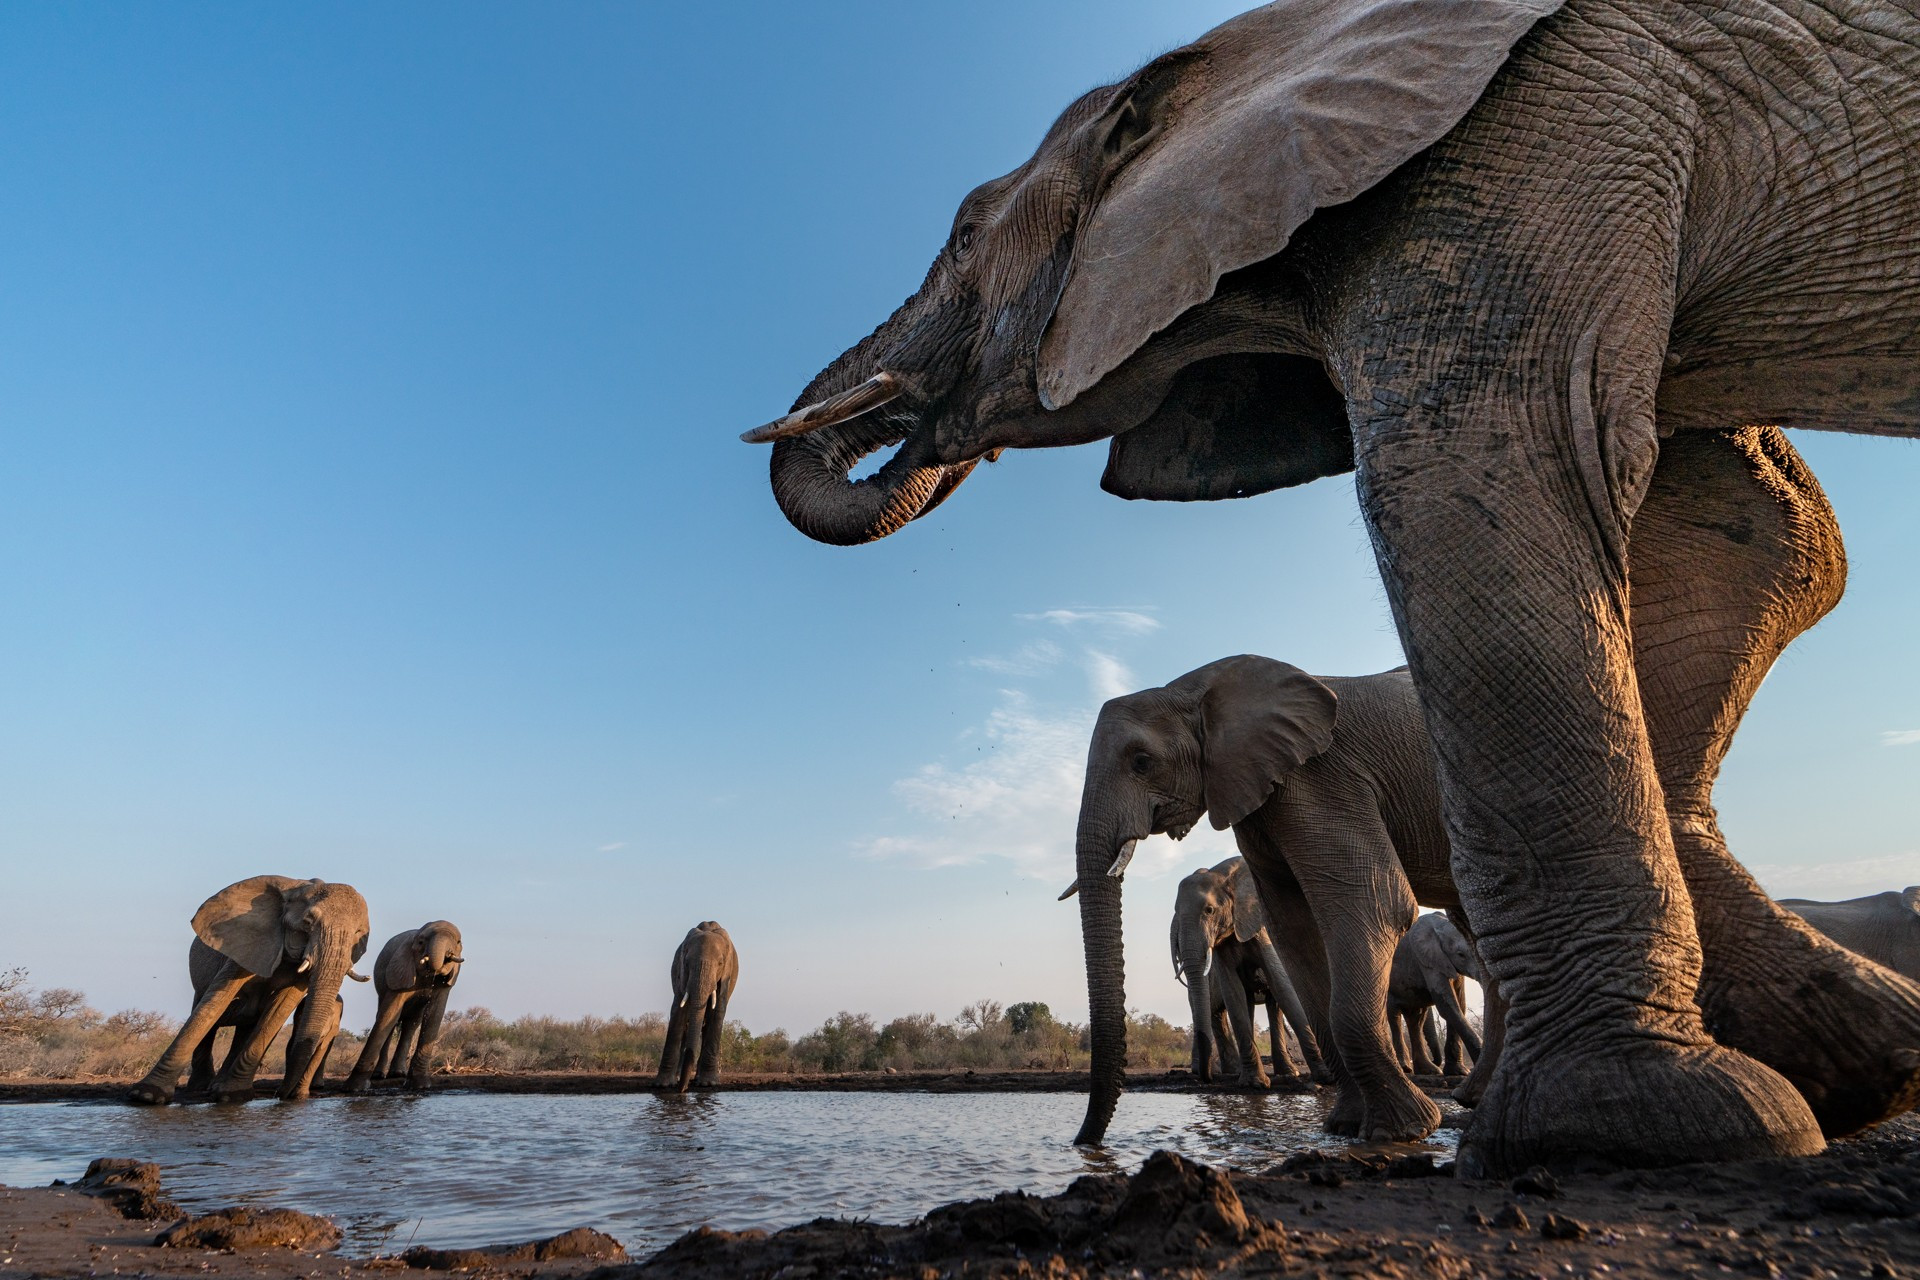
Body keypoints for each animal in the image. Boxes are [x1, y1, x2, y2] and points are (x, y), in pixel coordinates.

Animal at [130, 876, 370, 1105]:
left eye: (359, 933)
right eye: (308, 922)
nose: (281, 1095)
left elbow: (279, 1011)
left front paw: (233, 1096)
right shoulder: (245, 943)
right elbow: (212, 1005)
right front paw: (147, 1095)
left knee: (246, 1027)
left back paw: (218, 1087)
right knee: (204, 1010)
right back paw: (200, 1087)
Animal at [345, 921, 464, 1094]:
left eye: (458, 943)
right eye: (421, 942)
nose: (447, 956)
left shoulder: (447, 982)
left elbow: (435, 1015)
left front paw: (420, 1086)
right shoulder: (399, 972)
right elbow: (390, 1014)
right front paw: (354, 1088)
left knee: (411, 1024)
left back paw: (398, 1074)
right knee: (389, 1019)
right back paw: (379, 1076)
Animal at [656, 922, 738, 1092]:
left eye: (720, 963)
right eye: (687, 963)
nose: (682, 1090)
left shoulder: (726, 977)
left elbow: (718, 1012)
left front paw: (708, 1083)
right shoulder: (681, 975)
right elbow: (678, 1011)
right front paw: (663, 1085)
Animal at [1164, 857, 1329, 1087]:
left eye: (1209, 910)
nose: (1207, 1080)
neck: (1221, 875)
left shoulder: (1261, 930)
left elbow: (1282, 988)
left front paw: (1323, 1075)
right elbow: (1233, 991)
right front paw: (1254, 1083)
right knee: (1211, 1010)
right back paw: (1227, 1071)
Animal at [1386, 914, 1482, 1077]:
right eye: (1461, 955)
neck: (1440, 927)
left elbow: (1459, 1003)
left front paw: (1458, 1072)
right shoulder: (1427, 959)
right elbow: (1447, 1005)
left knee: (1415, 1019)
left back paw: (1428, 1070)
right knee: (1395, 1016)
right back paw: (1405, 1068)